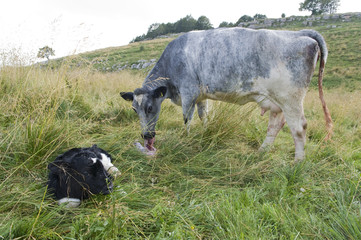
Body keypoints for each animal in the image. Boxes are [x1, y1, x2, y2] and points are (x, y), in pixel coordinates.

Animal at [121, 27, 332, 160]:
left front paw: (185, 139)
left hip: (291, 99)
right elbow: (203, 116)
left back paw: (297, 163)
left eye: (150, 107)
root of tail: (301, 34)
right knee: (275, 125)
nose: (146, 135)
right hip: (276, 101)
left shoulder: (188, 92)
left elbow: (187, 119)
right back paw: (261, 152)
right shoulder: (201, 96)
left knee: (299, 128)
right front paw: (204, 133)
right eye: (134, 110)